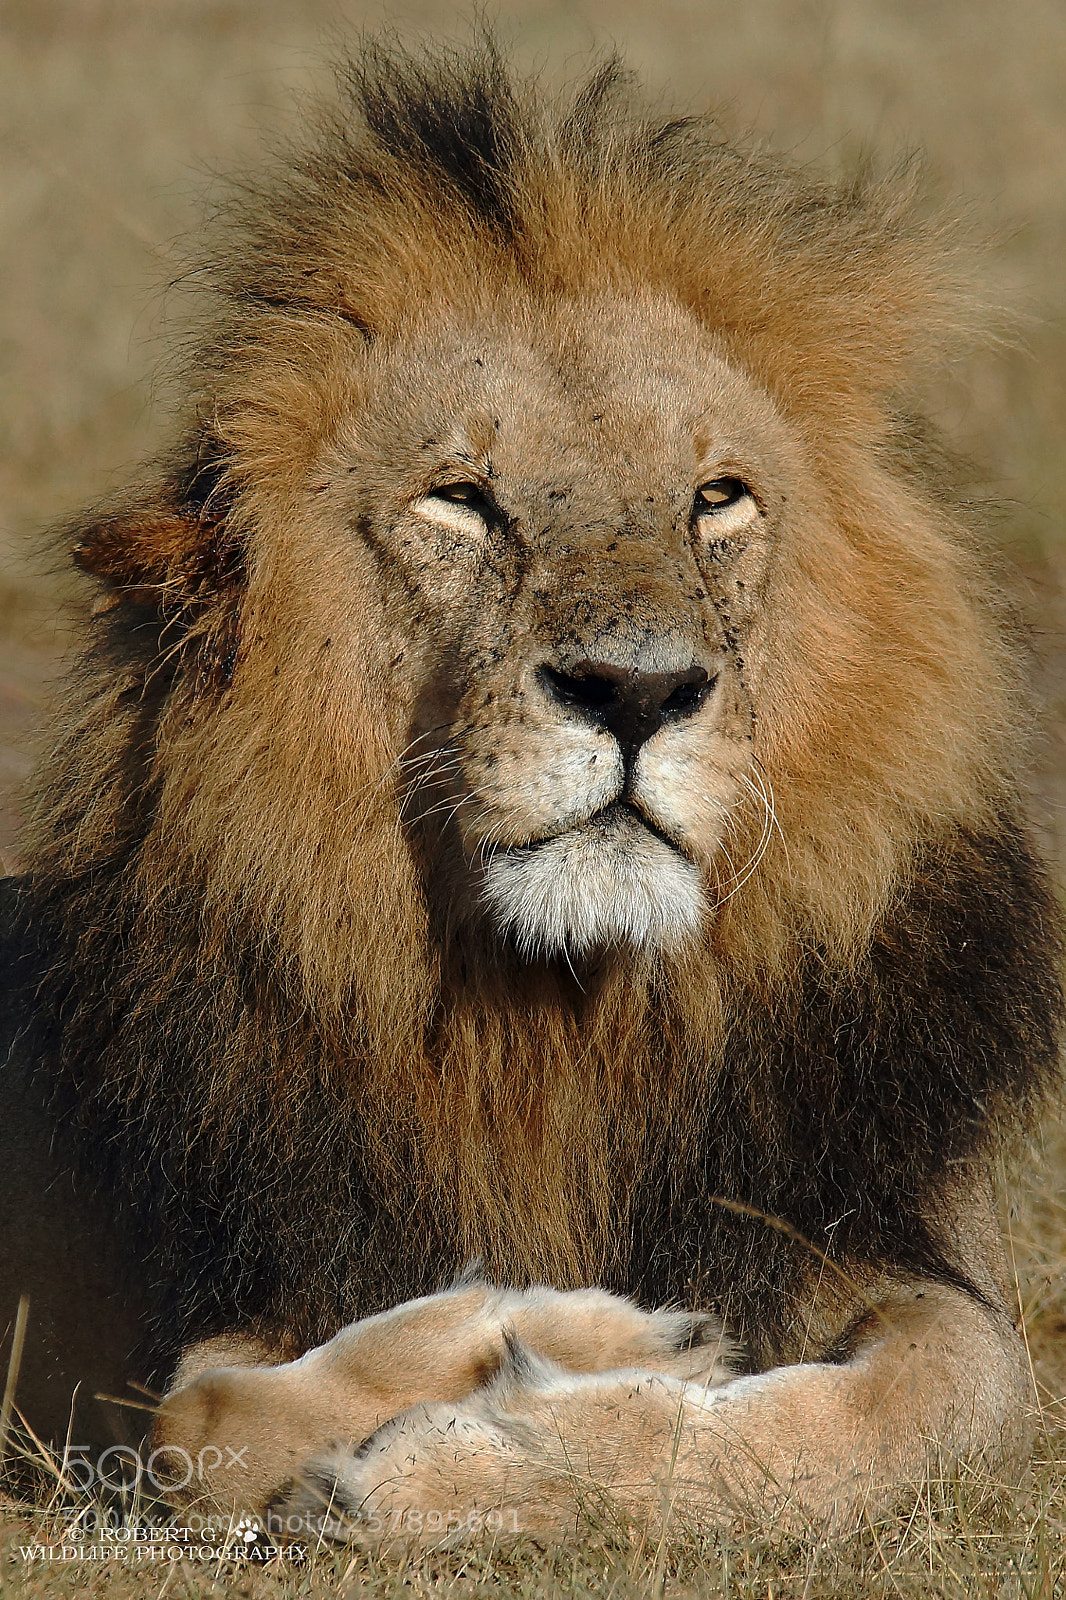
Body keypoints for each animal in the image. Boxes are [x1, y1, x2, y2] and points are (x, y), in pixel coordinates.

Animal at [0, 38, 1062, 1543]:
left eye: (715, 497)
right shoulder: (211, 1315)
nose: (633, 693)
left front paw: (503, 1449)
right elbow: (202, 1426)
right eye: (461, 499)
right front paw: (533, 1362)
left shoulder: (892, 1246)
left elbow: (915, 1403)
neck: (562, 1020)